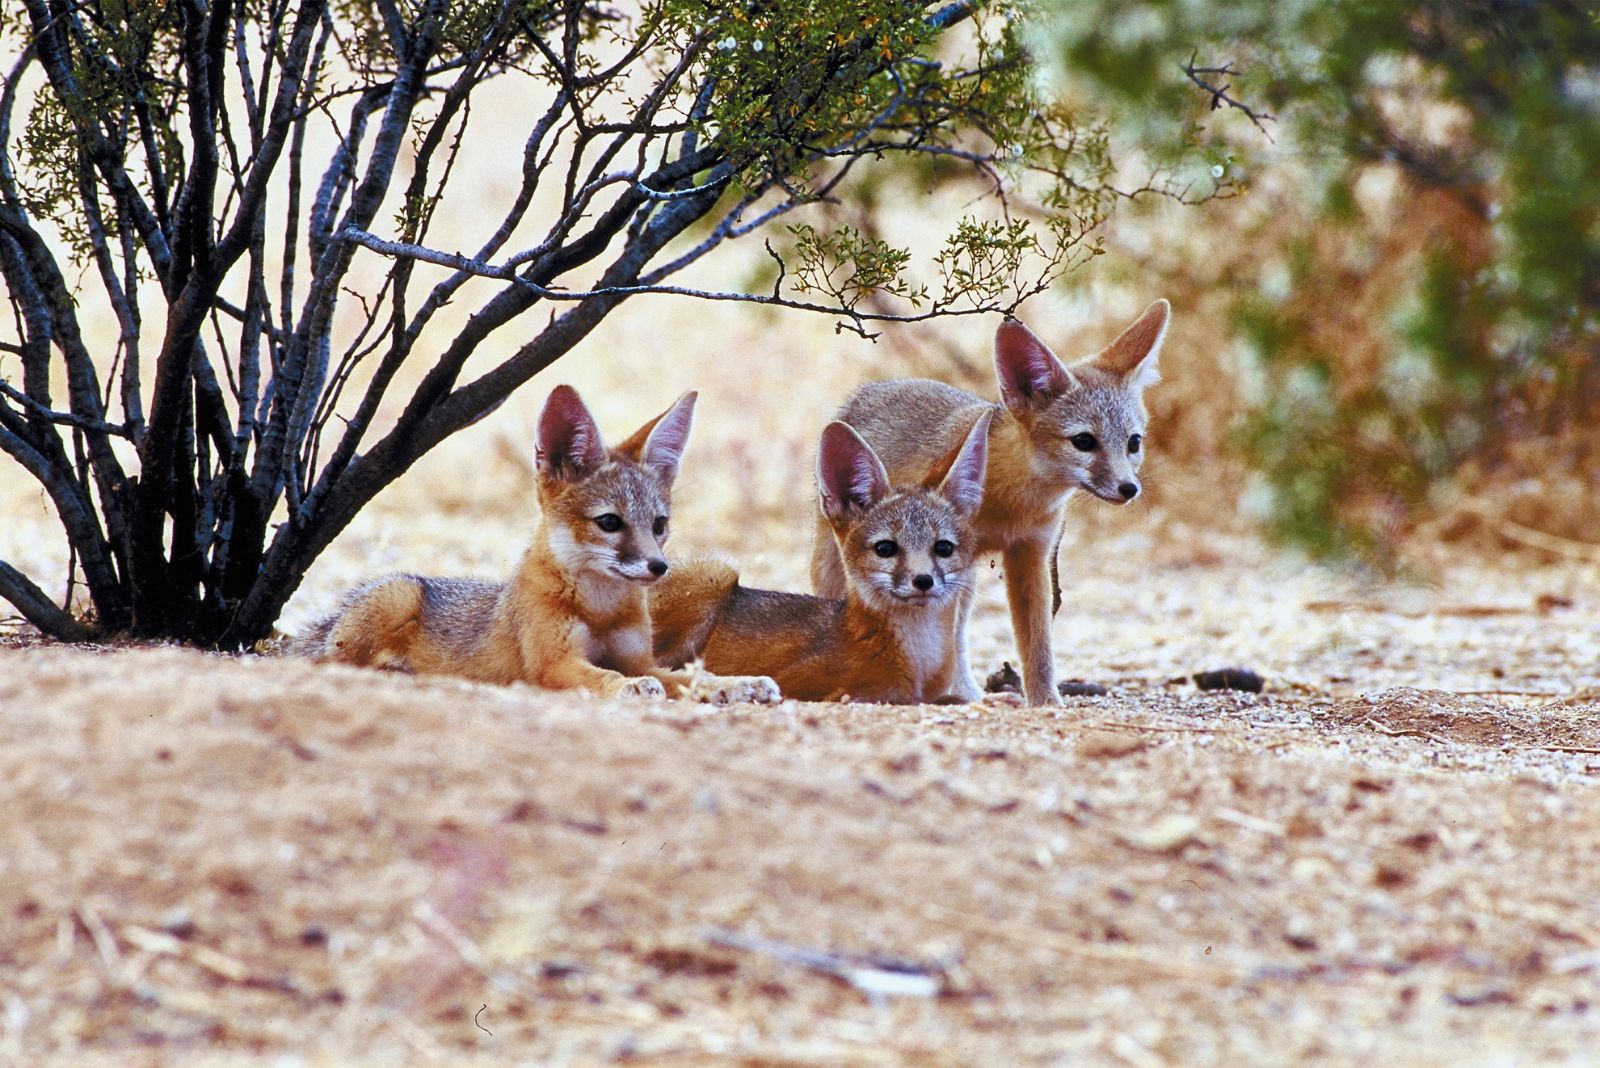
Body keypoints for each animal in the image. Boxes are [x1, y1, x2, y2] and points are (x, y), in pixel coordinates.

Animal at [296, 388, 787, 703]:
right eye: (610, 523)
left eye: (660, 524)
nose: (658, 567)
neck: (600, 610)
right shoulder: (553, 662)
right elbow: (604, 677)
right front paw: (626, 688)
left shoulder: (642, 659)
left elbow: (687, 678)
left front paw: (737, 685)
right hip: (396, 594)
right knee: (333, 664)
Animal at [649, 409, 985, 700]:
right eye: (885, 548)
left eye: (943, 548)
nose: (923, 580)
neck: (918, 664)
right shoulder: (806, 683)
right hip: (717, 571)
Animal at [812, 298, 1177, 709]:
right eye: (1084, 441)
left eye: (1134, 442)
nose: (1129, 488)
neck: (1013, 504)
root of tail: (873, 388)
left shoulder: (1030, 553)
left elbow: (1038, 642)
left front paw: (1046, 701)